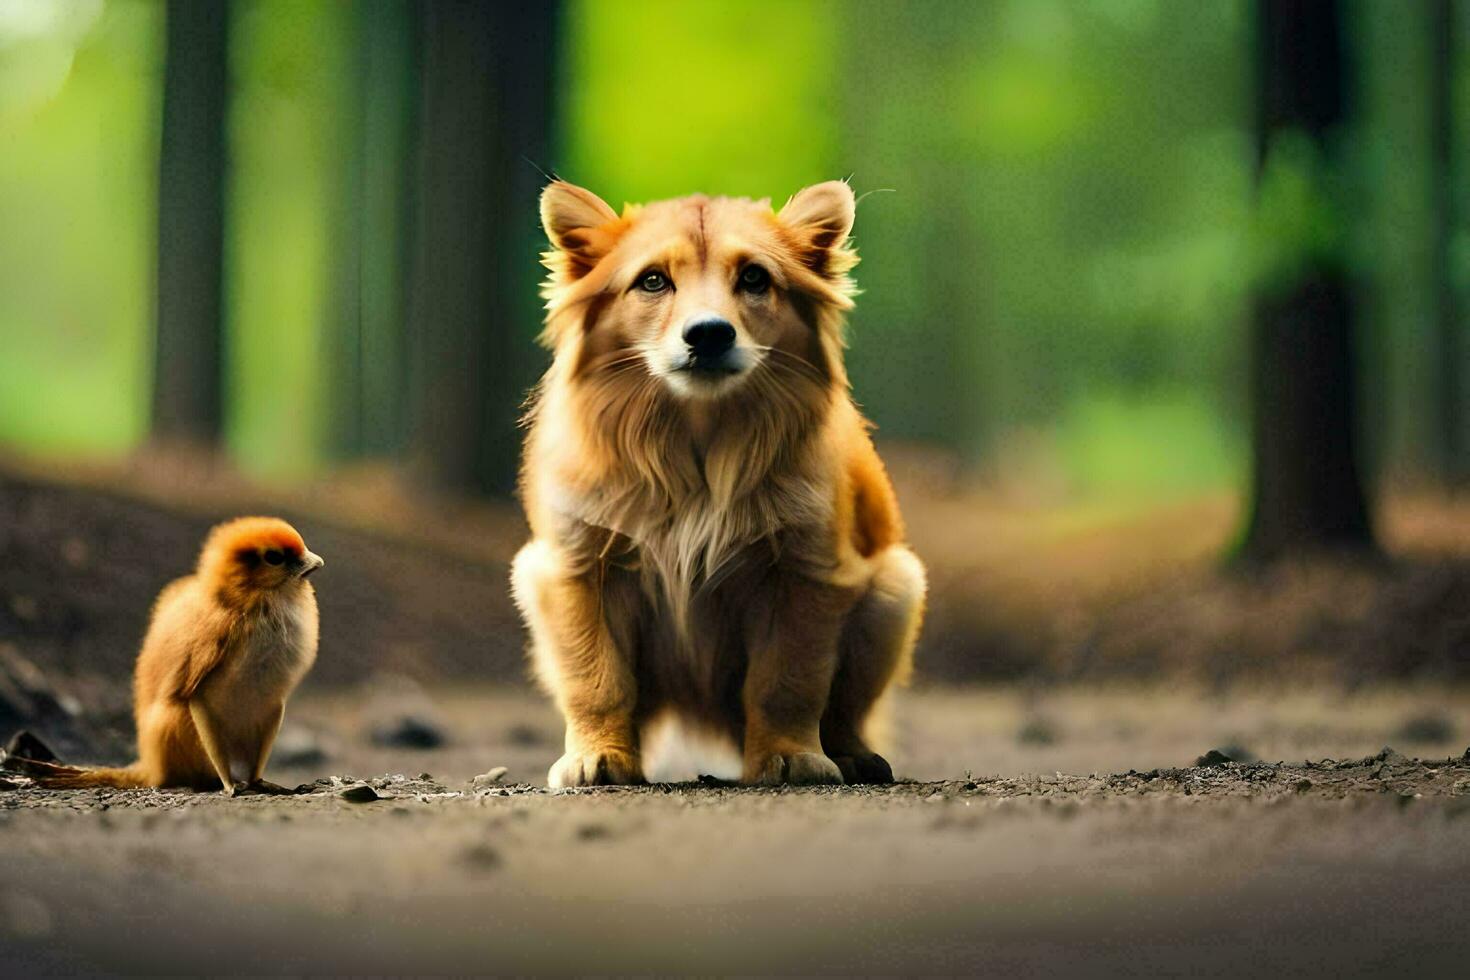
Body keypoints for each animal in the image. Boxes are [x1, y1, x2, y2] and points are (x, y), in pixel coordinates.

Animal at [517, 178, 923, 787]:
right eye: (653, 280)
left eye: (754, 278)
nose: (708, 334)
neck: (697, 450)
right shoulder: (576, 568)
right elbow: (597, 680)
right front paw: (598, 755)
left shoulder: (807, 574)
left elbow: (787, 681)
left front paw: (791, 754)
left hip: (895, 589)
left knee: (846, 713)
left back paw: (851, 754)